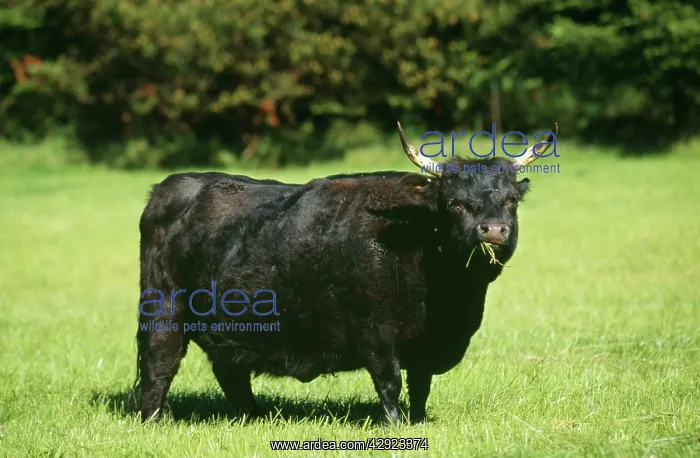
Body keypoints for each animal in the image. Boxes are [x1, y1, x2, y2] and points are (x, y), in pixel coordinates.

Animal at [135, 121, 557, 424]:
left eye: (511, 201)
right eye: (455, 203)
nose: (493, 230)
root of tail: (174, 185)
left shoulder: (424, 344)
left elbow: (420, 385)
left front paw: (419, 420)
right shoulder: (374, 329)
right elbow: (389, 381)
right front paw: (394, 424)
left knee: (230, 372)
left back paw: (253, 417)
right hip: (163, 309)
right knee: (159, 362)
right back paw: (154, 419)